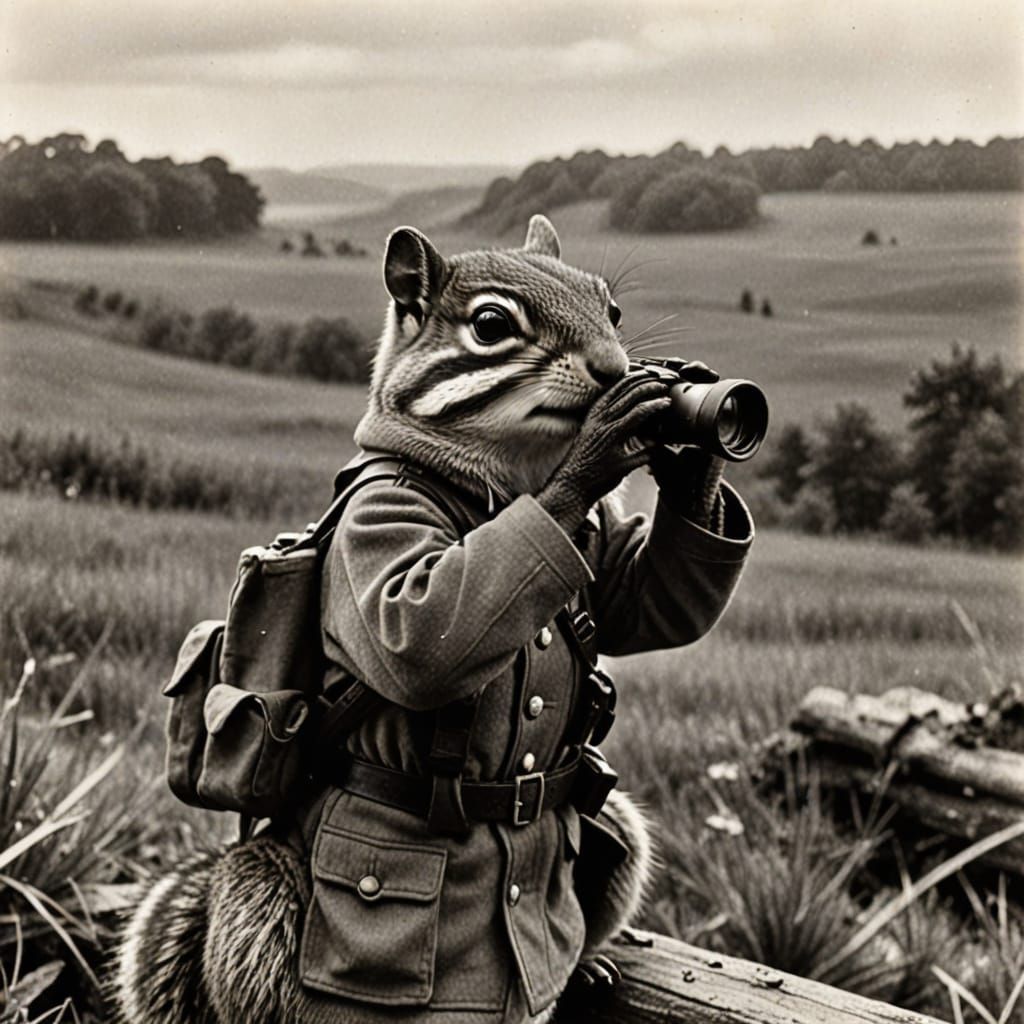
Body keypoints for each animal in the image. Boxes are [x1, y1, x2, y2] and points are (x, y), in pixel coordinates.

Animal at [113, 215, 752, 1024]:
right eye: (491, 325)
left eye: (612, 310)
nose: (615, 369)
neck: (503, 486)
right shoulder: (375, 520)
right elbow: (421, 634)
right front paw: (608, 435)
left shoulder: (603, 547)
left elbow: (652, 604)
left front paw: (693, 450)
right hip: (272, 906)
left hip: (613, 829)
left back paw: (586, 966)